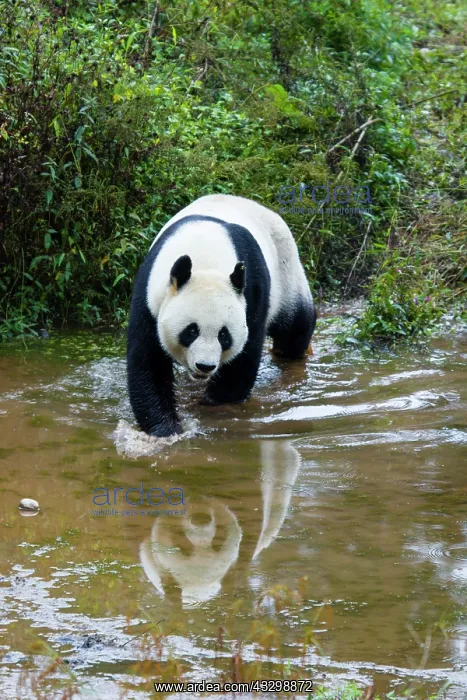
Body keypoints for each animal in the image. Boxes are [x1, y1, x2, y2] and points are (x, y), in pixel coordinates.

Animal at [127, 194, 317, 437]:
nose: (205, 366)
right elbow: (149, 362)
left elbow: (245, 353)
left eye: (224, 335)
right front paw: (165, 428)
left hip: (286, 272)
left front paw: (216, 405)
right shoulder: (150, 297)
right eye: (191, 331)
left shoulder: (252, 291)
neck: (205, 255)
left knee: (295, 326)